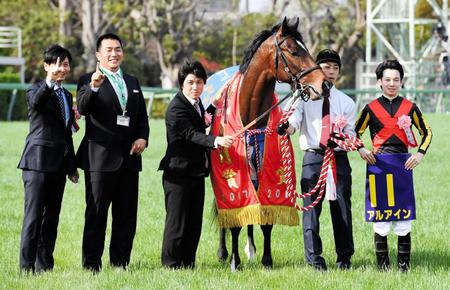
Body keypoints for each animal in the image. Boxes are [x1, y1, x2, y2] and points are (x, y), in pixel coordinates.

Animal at [216, 15, 328, 270]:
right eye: (294, 50)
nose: (324, 84)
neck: (251, 114)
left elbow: (265, 217)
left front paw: (266, 260)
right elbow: (235, 217)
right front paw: (235, 262)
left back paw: (251, 249)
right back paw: (224, 252)